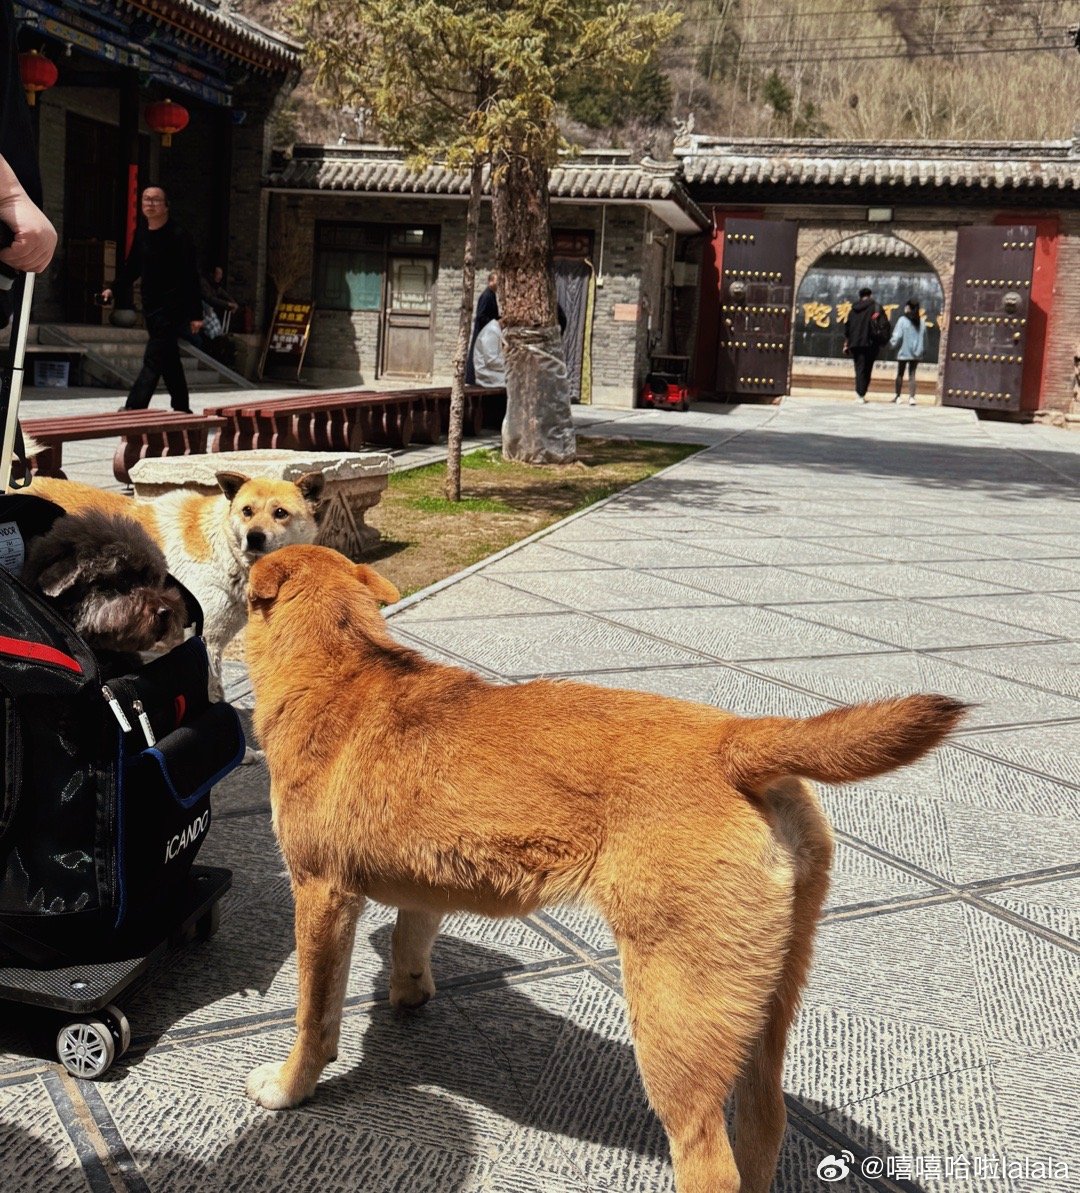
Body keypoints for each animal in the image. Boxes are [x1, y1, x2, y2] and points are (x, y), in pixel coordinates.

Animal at [239, 546, 964, 1193]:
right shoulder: (425, 878)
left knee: (709, 1160)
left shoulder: (320, 894)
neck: (341, 668)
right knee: (765, 1122)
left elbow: (313, 1016)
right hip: (766, 1003)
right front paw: (409, 991)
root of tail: (734, 742)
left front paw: (290, 1085)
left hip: (675, 1016)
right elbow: (409, 938)